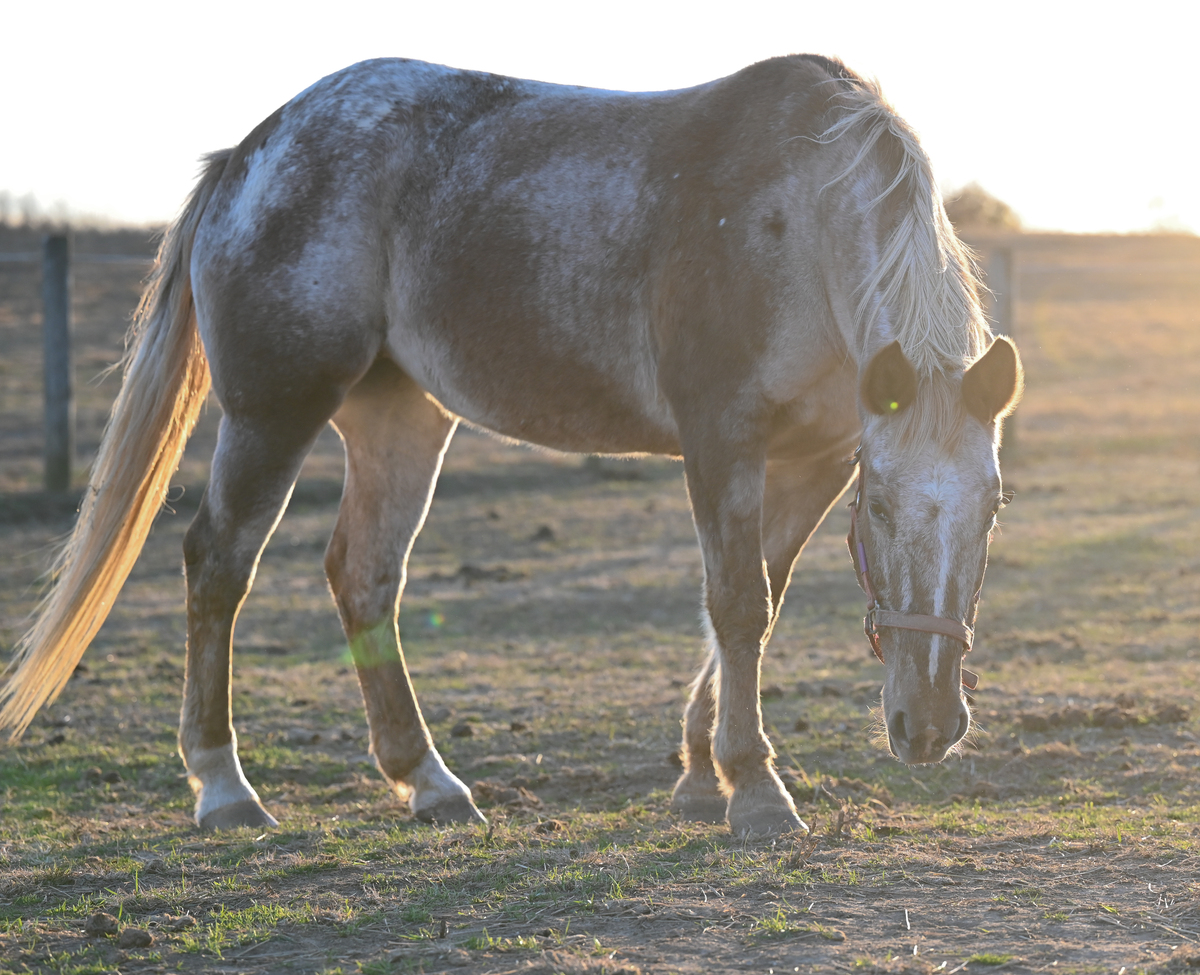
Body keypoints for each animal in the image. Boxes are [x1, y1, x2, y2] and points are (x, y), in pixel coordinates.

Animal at [1, 54, 1021, 836]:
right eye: (881, 507)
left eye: (993, 510)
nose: (928, 725)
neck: (800, 224)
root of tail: (253, 150)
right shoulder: (722, 436)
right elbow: (736, 604)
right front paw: (755, 787)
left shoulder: (814, 457)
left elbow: (756, 599)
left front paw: (704, 769)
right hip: (273, 413)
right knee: (218, 563)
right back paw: (223, 787)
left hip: (401, 418)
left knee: (364, 573)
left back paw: (428, 781)